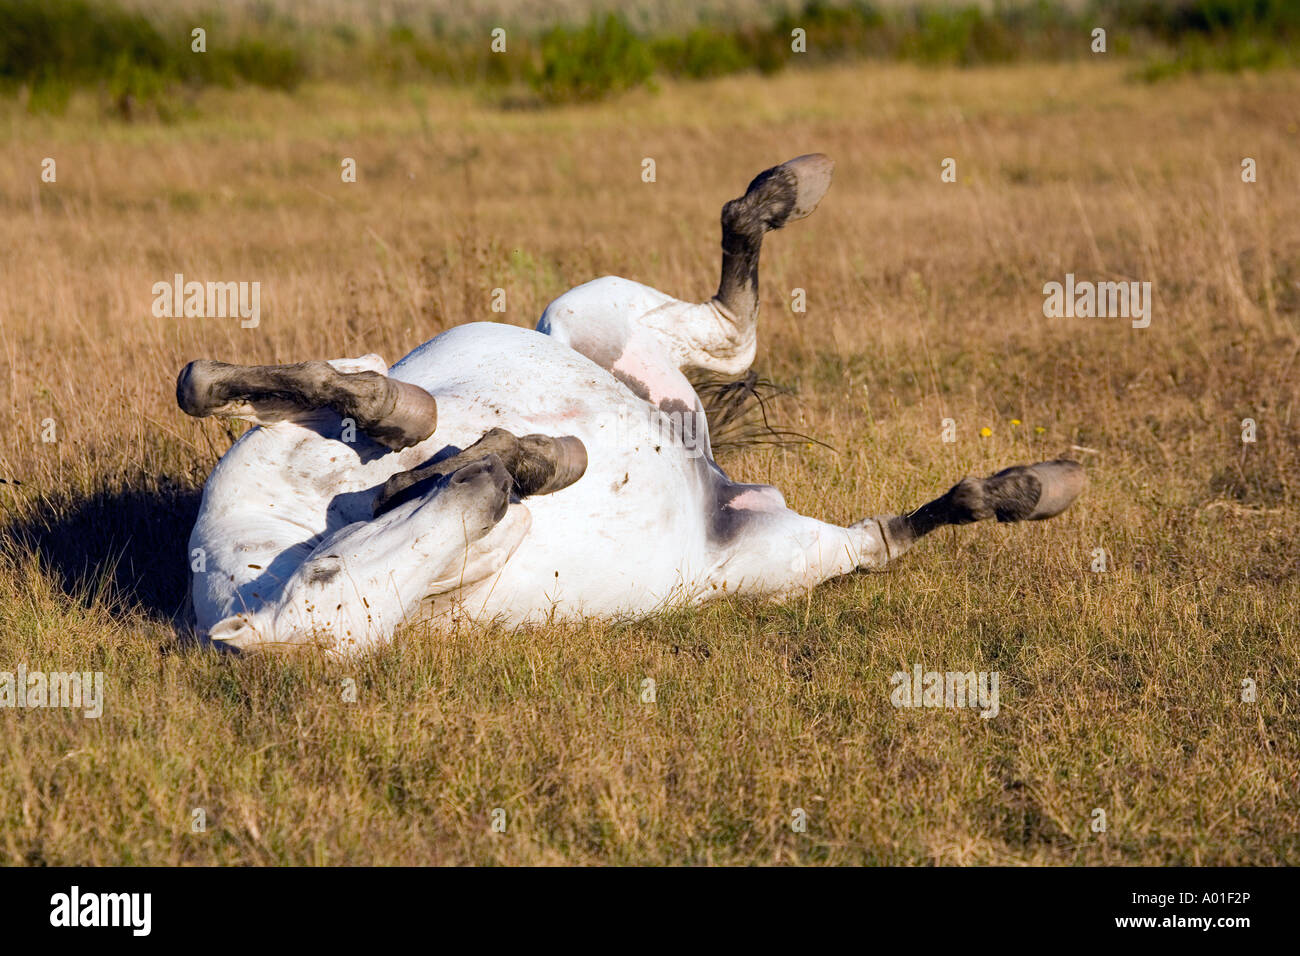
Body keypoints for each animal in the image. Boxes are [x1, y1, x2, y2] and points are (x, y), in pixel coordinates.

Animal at [178, 155, 1081, 658]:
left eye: (326, 569)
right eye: (378, 597)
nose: (492, 492)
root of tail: (712, 472)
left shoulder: (338, 417)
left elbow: (356, 400)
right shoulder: (479, 539)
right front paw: (531, 461)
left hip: (585, 311)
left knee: (730, 323)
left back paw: (785, 187)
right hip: (783, 558)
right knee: (886, 535)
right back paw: (1035, 487)